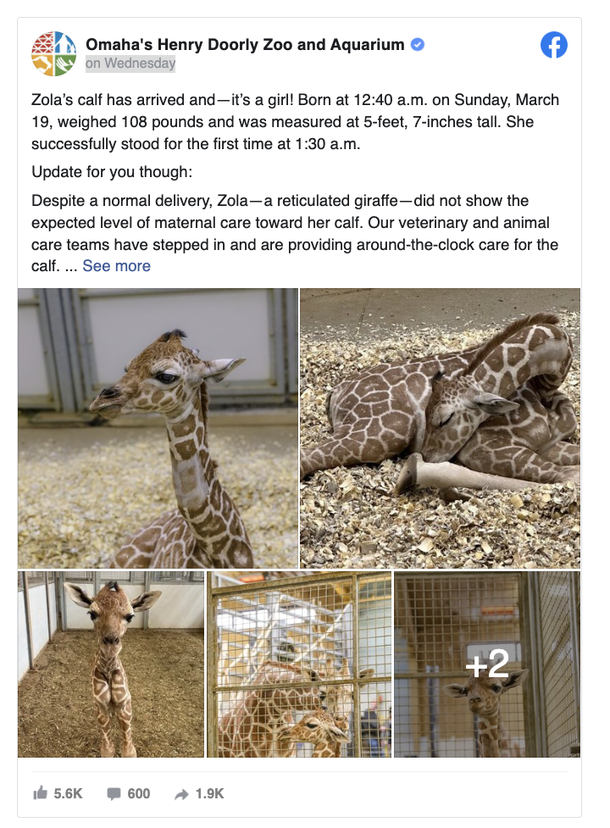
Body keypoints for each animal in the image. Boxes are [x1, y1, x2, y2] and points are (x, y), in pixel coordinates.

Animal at [64, 581, 162, 758]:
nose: (110, 643)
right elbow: (107, 750)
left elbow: (128, 751)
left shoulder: (124, 706)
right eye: (92, 613)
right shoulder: (100, 707)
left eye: (130, 616)